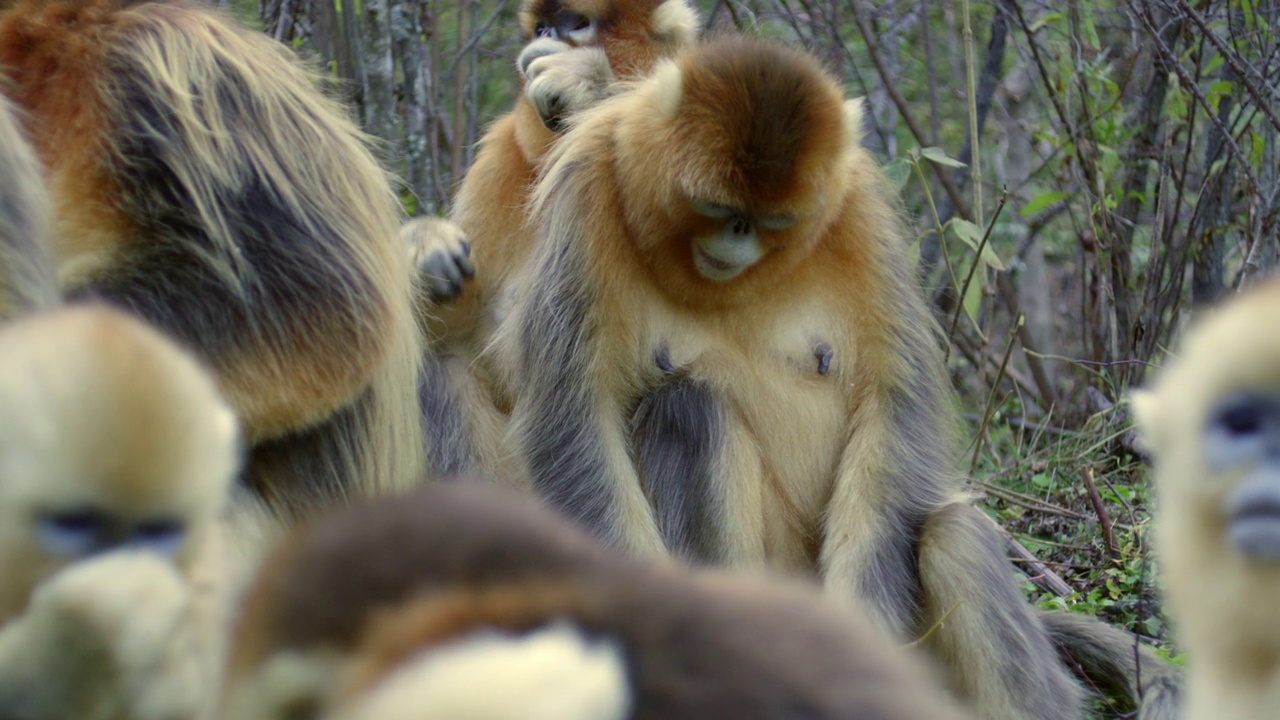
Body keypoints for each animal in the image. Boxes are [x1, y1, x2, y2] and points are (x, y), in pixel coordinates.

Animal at [499, 35, 1177, 717]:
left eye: (773, 222)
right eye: (717, 209)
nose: (739, 236)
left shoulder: (855, 207)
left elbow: (893, 400)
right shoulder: (589, 187)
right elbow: (575, 420)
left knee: (953, 532)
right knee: (689, 407)